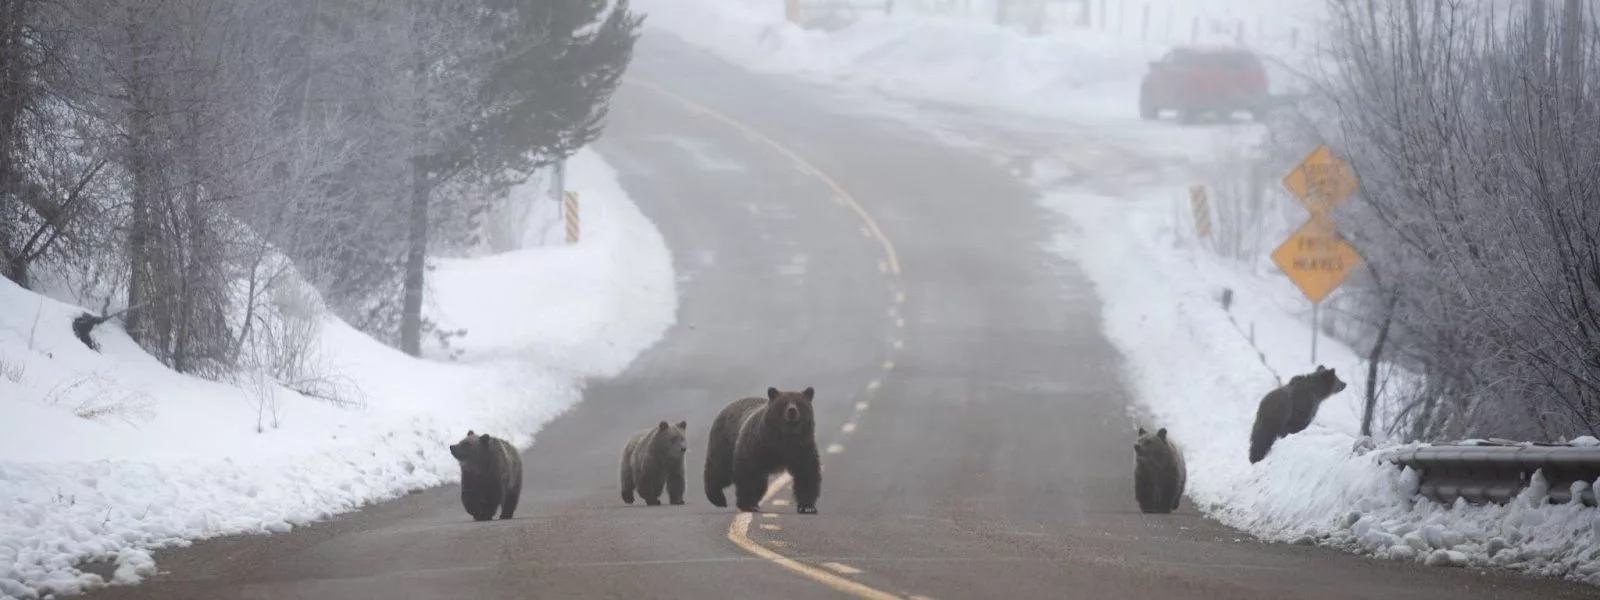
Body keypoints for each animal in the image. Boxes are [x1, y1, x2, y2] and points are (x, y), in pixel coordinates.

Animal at [704, 387, 819, 515]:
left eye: (799, 403)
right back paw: (717, 498)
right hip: (725, 443)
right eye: (783, 403)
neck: (785, 438)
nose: (792, 411)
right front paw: (747, 504)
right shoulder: (758, 445)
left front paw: (807, 506)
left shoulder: (802, 448)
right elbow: (748, 473)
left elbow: (806, 474)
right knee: (719, 470)